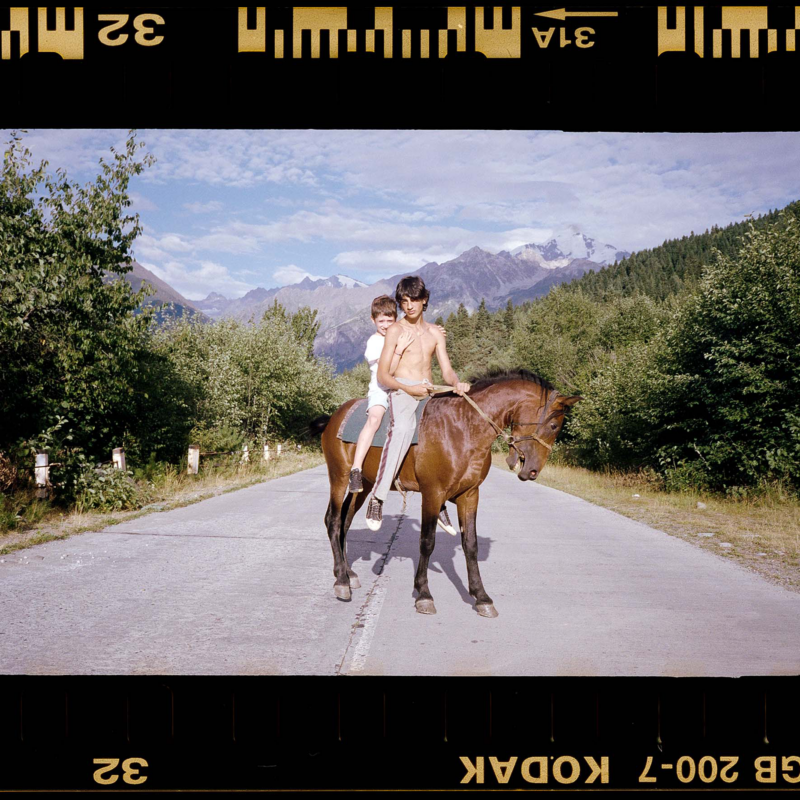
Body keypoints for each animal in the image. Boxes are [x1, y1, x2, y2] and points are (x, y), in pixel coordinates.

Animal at [314, 368, 580, 620]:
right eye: (554, 426)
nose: (533, 471)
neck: (463, 428)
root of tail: (334, 417)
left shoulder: (470, 495)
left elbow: (470, 544)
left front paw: (481, 597)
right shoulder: (432, 494)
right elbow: (427, 542)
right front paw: (423, 594)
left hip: (364, 485)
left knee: (345, 522)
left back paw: (348, 573)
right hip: (339, 478)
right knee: (334, 521)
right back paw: (341, 581)